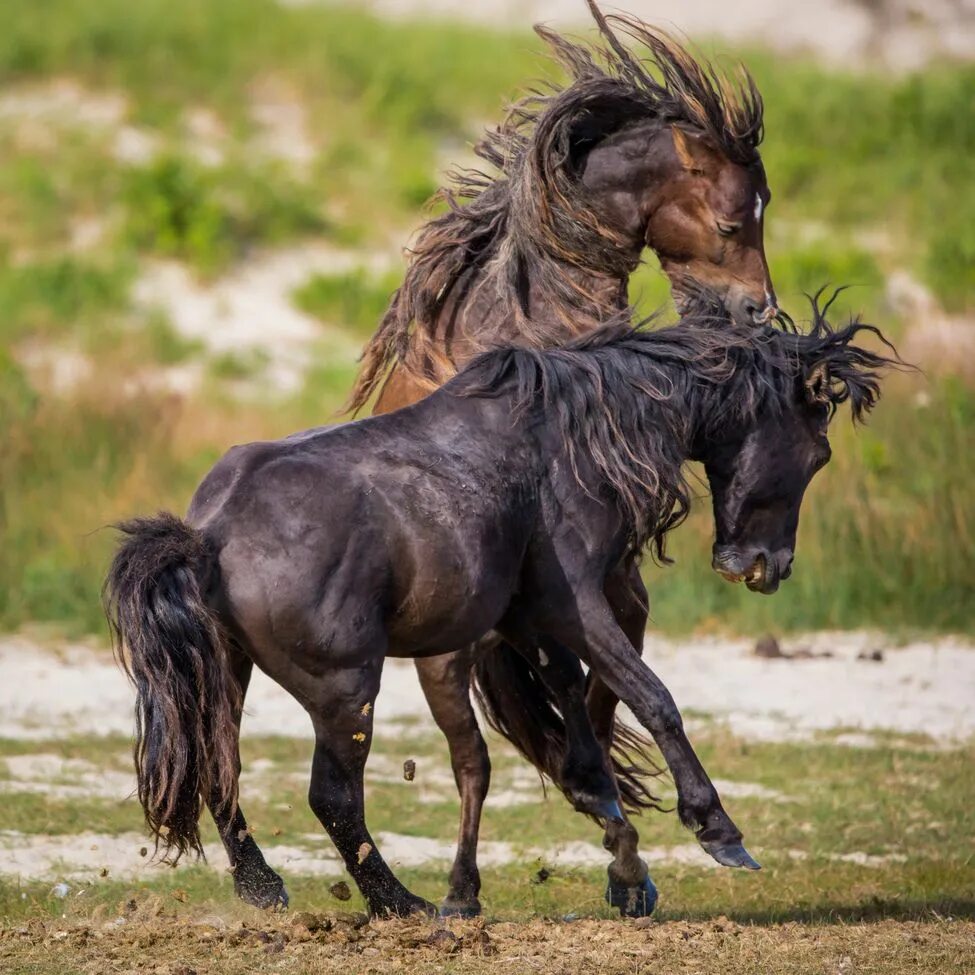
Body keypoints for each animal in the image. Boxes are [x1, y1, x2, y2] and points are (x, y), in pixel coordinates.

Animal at [105, 302, 892, 920]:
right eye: (817, 451)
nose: (764, 566)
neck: (574, 440)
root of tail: (210, 533)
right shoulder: (575, 604)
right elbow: (654, 700)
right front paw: (716, 828)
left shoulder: (524, 620)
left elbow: (577, 720)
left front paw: (620, 853)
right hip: (345, 688)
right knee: (332, 796)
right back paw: (401, 902)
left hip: (230, 675)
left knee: (219, 769)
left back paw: (267, 887)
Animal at [346, 0, 776, 920]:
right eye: (732, 221)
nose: (759, 311)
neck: (530, 318)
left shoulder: (604, 581)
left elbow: (600, 691)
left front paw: (618, 817)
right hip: (451, 655)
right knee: (474, 761)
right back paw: (466, 889)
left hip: (592, 603)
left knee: (581, 699)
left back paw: (620, 850)